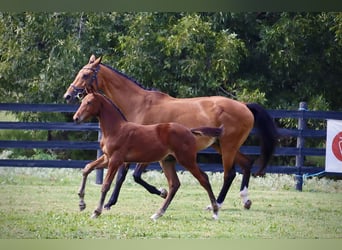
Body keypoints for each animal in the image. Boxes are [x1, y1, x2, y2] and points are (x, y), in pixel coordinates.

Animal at [72, 93, 222, 220]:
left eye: (89, 102)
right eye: (82, 101)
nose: (76, 118)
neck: (115, 129)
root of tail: (189, 131)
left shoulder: (115, 160)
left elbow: (105, 185)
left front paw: (96, 211)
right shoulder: (107, 158)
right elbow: (87, 168)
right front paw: (81, 203)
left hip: (186, 159)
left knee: (203, 179)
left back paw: (215, 211)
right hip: (167, 161)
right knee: (174, 184)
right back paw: (158, 213)